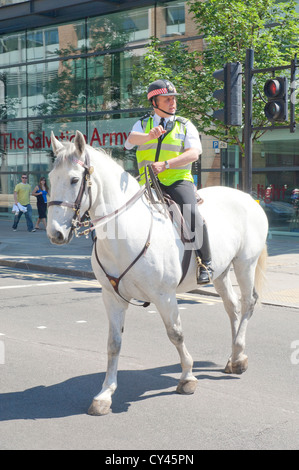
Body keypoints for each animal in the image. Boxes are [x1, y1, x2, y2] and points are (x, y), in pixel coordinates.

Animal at [47, 131, 270, 414]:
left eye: (75, 179)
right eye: (50, 179)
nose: (55, 233)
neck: (126, 234)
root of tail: (247, 197)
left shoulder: (164, 296)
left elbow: (175, 334)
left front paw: (187, 377)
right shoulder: (112, 297)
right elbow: (113, 344)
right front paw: (104, 394)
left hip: (244, 263)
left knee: (248, 301)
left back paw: (239, 356)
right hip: (221, 271)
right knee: (232, 307)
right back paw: (234, 357)